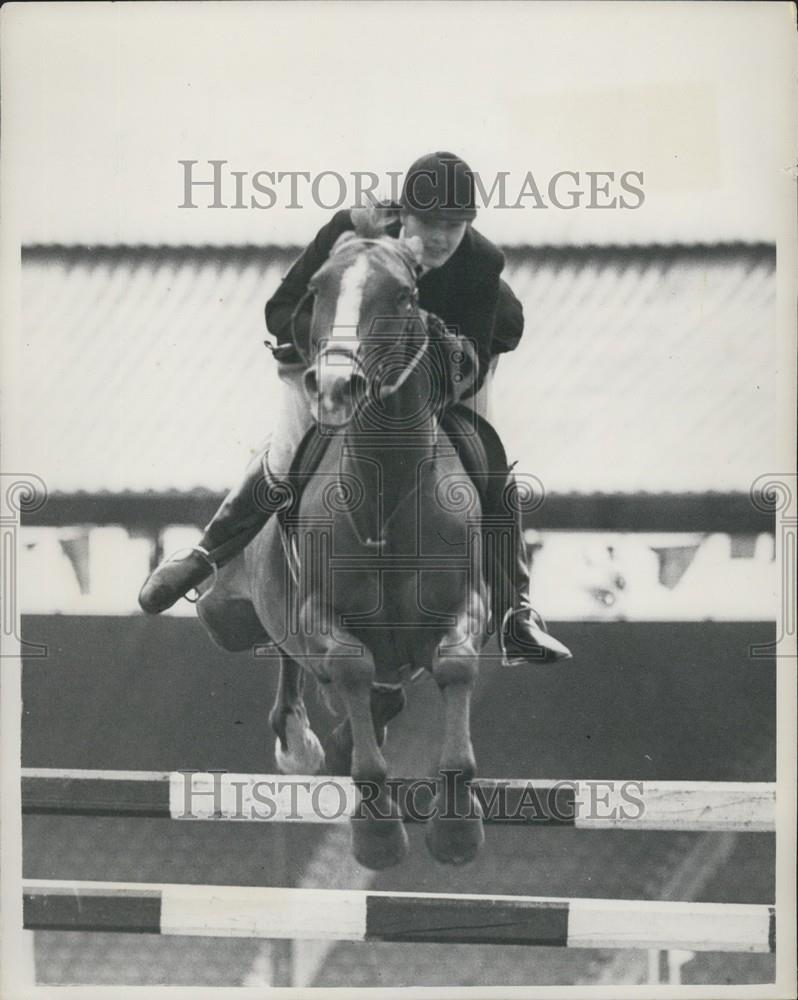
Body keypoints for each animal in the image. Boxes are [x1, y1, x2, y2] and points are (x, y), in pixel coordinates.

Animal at [197, 225, 490, 868]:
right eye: (316, 288)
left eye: (404, 295)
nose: (335, 385)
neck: (387, 490)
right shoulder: (319, 613)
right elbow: (349, 665)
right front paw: (377, 831)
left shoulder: (467, 604)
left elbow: (456, 665)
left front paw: (456, 828)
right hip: (227, 616)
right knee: (295, 661)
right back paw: (300, 739)